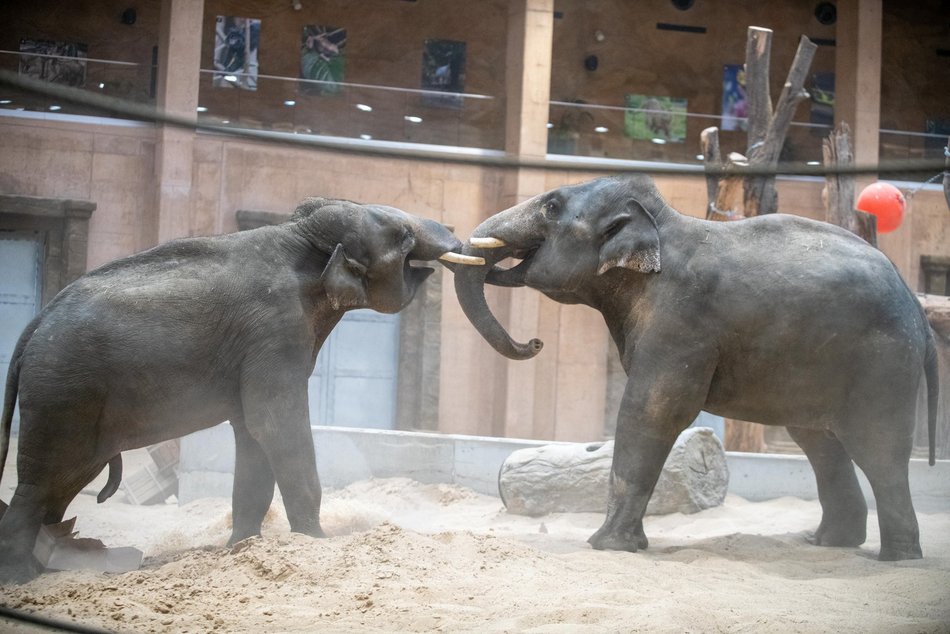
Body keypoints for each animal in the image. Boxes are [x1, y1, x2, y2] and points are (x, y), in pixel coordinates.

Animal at [0, 195, 480, 580]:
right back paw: (24, 577)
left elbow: (253, 435)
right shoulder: (275, 331)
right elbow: (276, 426)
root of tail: (35, 325)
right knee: (44, 477)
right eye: (402, 237)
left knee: (68, 477)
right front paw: (318, 542)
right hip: (62, 391)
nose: (455, 242)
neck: (303, 239)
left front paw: (243, 547)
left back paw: (58, 562)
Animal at [458, 172, 940, 556]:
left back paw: (897, 557)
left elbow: (652, 411)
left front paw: (606, 547)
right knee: (817, 439)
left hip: (883, 361)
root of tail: (917, 307)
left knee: (877, 448)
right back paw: (826, 543)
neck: (661, 225)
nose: (535, 342)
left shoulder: (682, 320)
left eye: (552, 206)